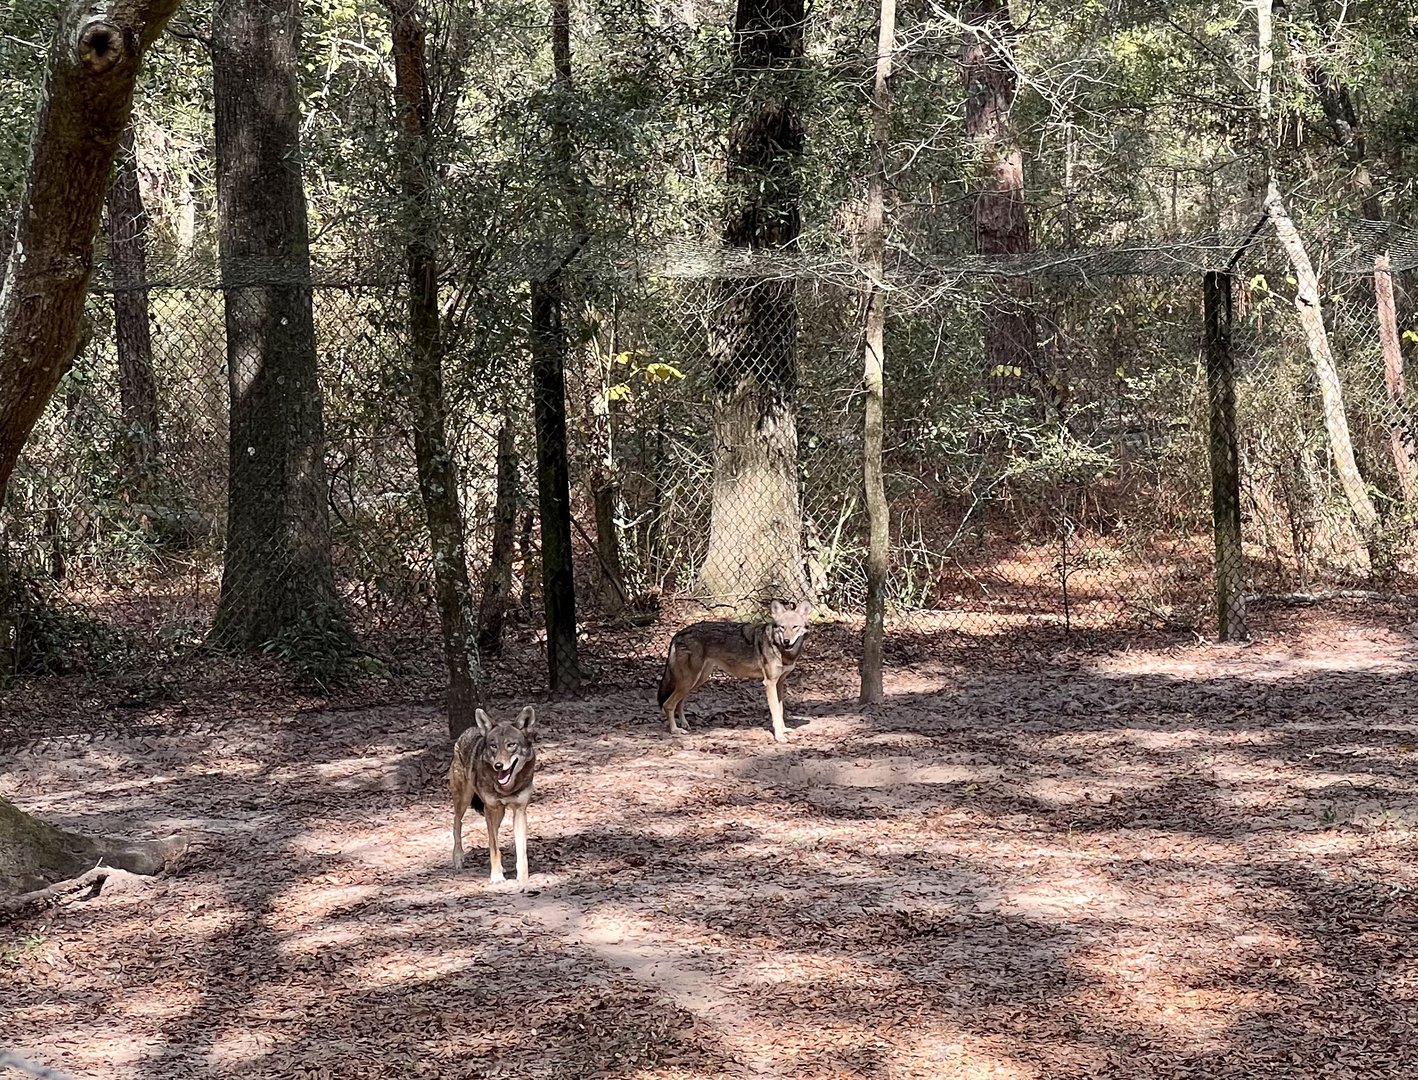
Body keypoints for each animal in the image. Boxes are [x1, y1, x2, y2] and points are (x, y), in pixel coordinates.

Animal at [449, 705, 538, 887]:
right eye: (493, 746)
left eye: (511, 745)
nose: (498, 765)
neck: (506, 788)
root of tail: (470, 729)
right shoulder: (490, 809)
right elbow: (494, 847)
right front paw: (497, 877)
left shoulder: (519, 811)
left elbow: (521, 850)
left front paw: (522, 879)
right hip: (464, 800)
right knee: (457, 823)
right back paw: (458, 858)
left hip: (499, 813)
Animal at [656, 600, 811, 743]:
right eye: (782, 627)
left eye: (795, 627)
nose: (786, 641)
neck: (782, 651)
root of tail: (678, 633)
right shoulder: (770, 683)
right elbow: (776, 713)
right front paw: (779, 736)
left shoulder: (779, 683)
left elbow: (781, 710)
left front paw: (784, 730)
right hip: (690, 680)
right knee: (668, 705)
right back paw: (675, 730)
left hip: (697, 680)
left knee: (679, 702)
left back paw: (684, 724)